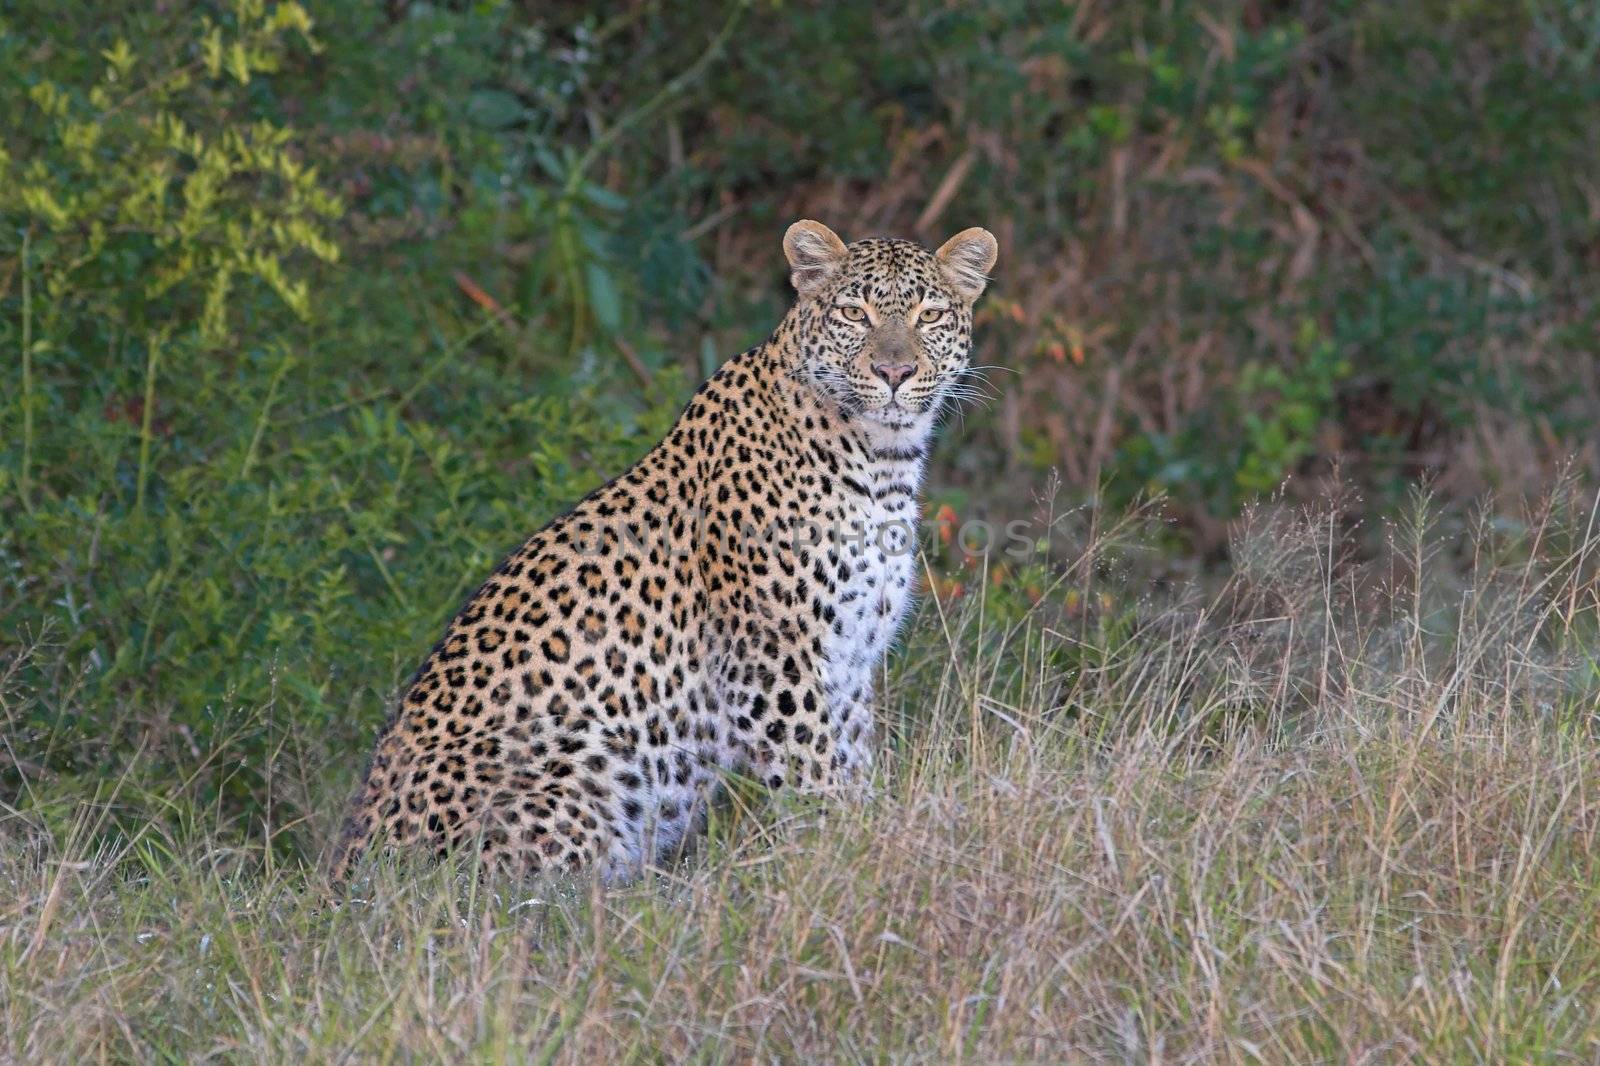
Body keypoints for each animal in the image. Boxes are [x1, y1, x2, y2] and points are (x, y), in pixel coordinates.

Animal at [329, 217, 992, 877]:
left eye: (930, 315)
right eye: (855, 313)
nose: (893, 373)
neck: (883, 461)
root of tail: (345, 871)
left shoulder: (851, 661)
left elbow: (853, 761)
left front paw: (871, 837)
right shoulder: (771, 658)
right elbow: (814, 773)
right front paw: (840, 855)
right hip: (588, 758)